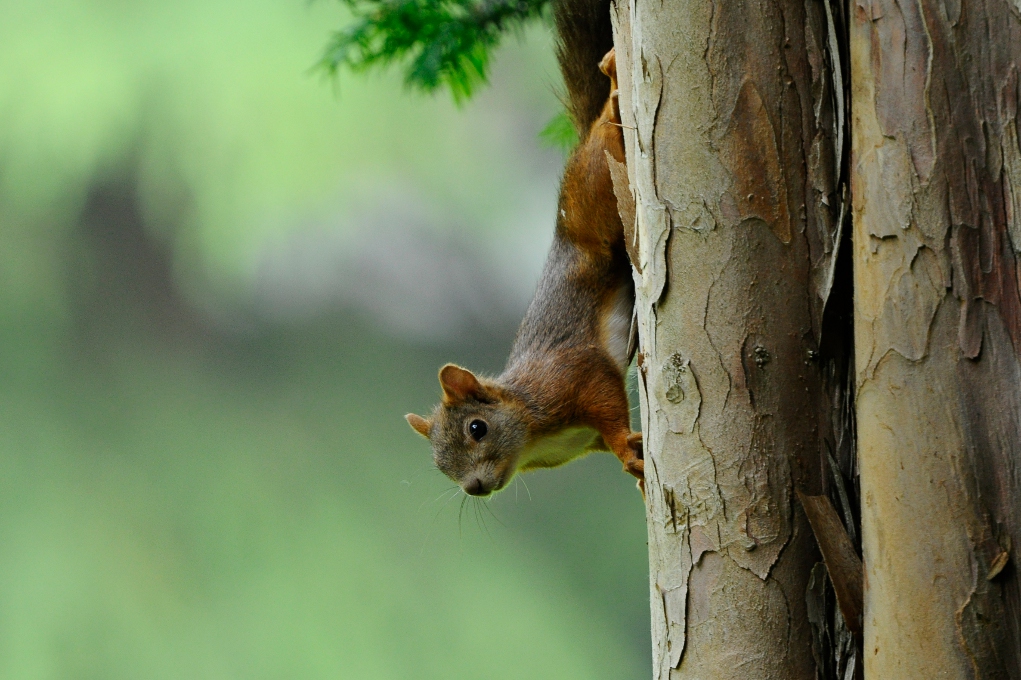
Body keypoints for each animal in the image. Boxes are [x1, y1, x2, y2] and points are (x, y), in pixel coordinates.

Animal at [405, 0, 643, 497]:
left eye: (477, 428)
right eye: (439, 464)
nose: (474, 487)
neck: (534, 433)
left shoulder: (572, 377)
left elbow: (607, 400)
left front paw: (627, 448)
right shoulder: (580, 441)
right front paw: (633, 467)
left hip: (594, 195)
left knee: (607, 130)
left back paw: (613, 84)